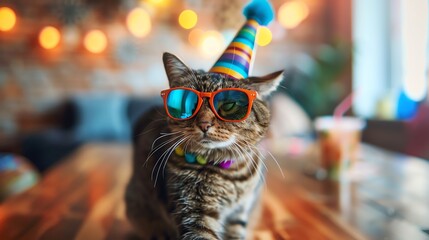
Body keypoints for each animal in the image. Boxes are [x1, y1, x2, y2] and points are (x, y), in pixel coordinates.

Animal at [124, 53, 280, 240]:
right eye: (188, 103)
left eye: (229, 105)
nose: (204, 124)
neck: (228, 174)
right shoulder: (192, 211)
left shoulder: (238, 213)